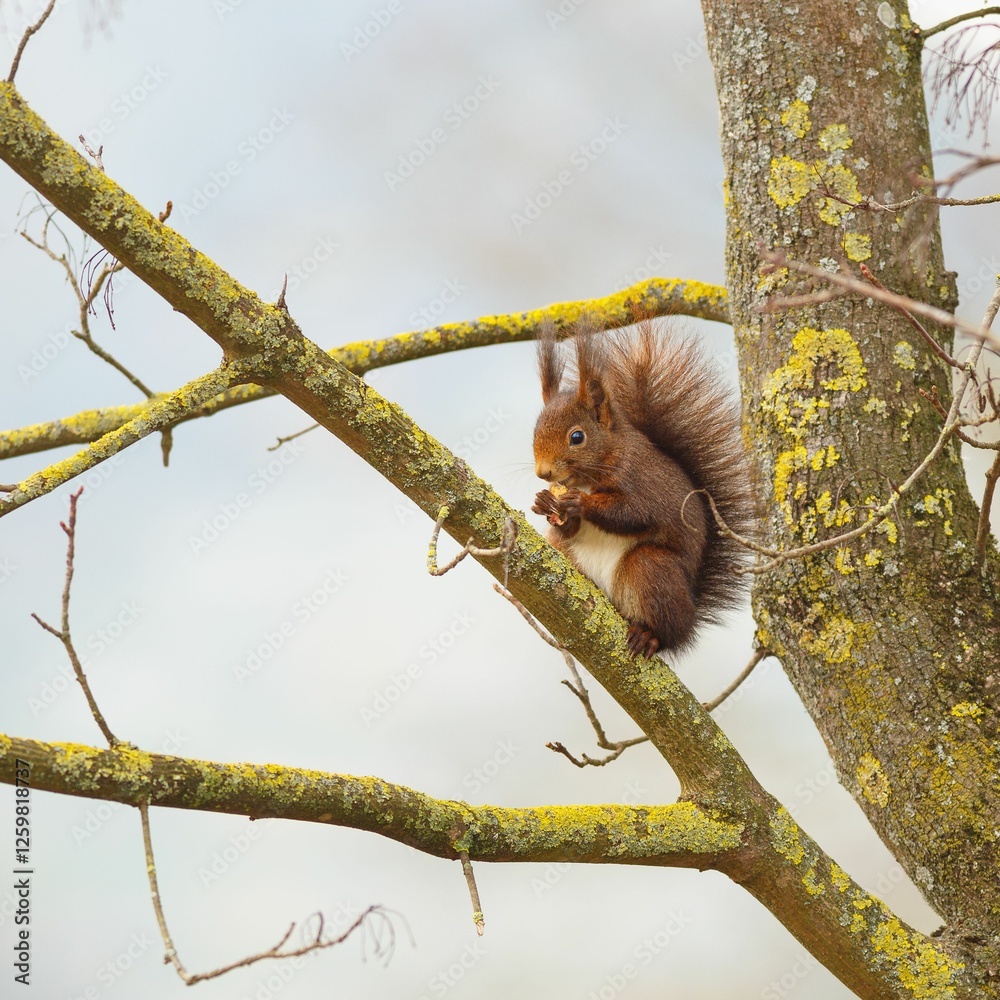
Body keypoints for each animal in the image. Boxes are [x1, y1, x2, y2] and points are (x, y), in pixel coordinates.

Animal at [531, 318, 753, 657]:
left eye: (577, 437)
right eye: (535, 430)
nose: (543, 473)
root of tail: (691, 610)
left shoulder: (645, 485)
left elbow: (633, 513)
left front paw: (580, 504)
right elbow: (568, 528)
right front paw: (544, 503)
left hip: (649, 568)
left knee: (669, 632)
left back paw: (649, 636)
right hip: (568, 556)